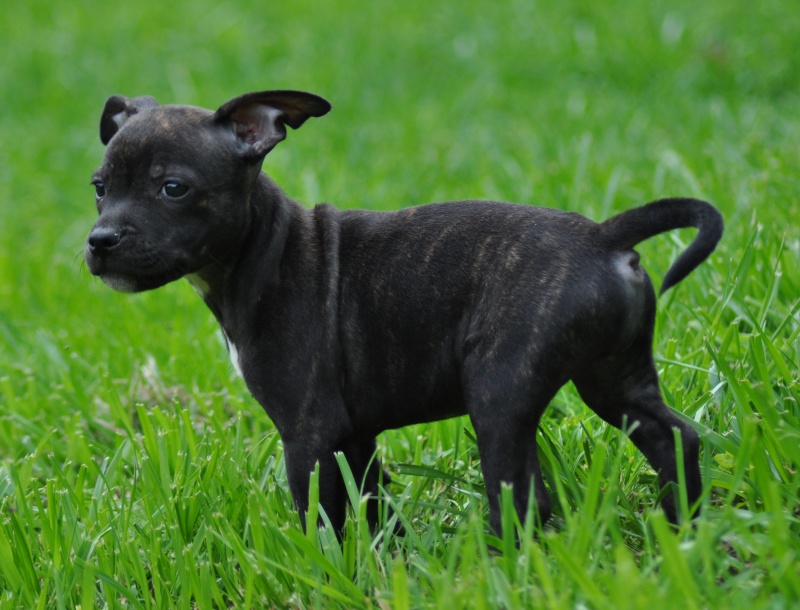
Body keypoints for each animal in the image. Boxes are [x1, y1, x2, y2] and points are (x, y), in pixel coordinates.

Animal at [84, 88, 720, 536]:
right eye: (99, 187)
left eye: (173, 188)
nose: (100, 240)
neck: (264, 248)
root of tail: (604, 237)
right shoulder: (353, 435)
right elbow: (370, 505)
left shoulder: (309, 432)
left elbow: (321, 519)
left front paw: (323, 570)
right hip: (615, 377)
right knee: (674, 437)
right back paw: (681, 531)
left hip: (500, 393)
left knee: (524, 498)